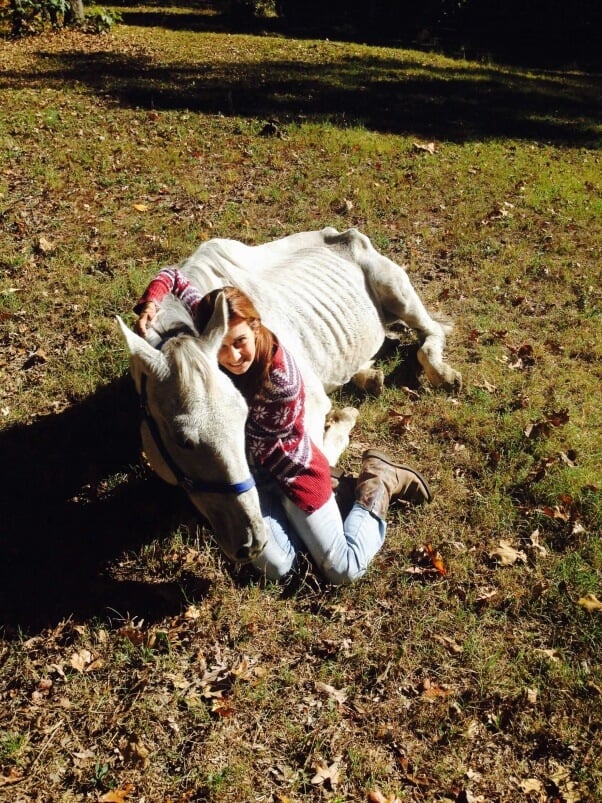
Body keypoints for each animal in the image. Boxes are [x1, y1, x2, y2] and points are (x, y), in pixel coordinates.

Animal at [118, 226, 460, 564]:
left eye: (243, 420)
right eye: (182, 440)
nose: (252, 543)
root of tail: (344, 232)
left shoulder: (310, 403)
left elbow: (316, 459)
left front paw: (342, 421)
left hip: (398, 290)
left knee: (430, 333)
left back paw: (442, 375)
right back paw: (370, 378)